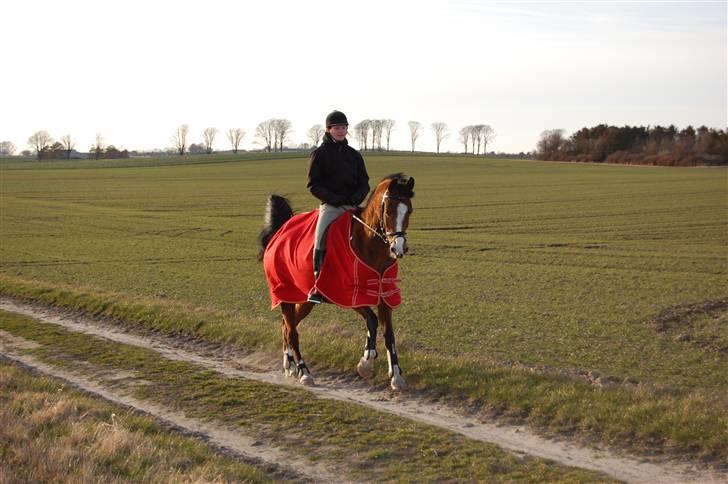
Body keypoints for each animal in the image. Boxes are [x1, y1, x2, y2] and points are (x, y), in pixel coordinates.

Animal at [258, 172, 416, 392]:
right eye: (389, 211)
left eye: (408, 210)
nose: (398, 248)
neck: (366, 245)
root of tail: (280, 230)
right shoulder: (348, 295)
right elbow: (372, 321)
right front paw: (366, 363)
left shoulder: (384, 296)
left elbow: (388, 333)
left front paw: (396, 376)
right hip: (286, 295)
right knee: (292, 332)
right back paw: (304, 373)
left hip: (304, 301)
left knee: (287, 327)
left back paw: (289, 366)